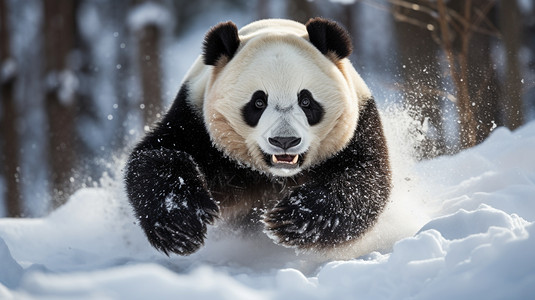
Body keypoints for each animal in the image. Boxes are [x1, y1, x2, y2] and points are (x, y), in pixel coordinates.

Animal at [125, 17, 394, 258]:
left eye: (306, 101)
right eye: (258, 102)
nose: (284, 141)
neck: (276, 176)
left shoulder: (358, 122)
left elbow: (365, 179)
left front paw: (291, 219)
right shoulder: (195, 122)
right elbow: (157, 156)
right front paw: (183, 222)